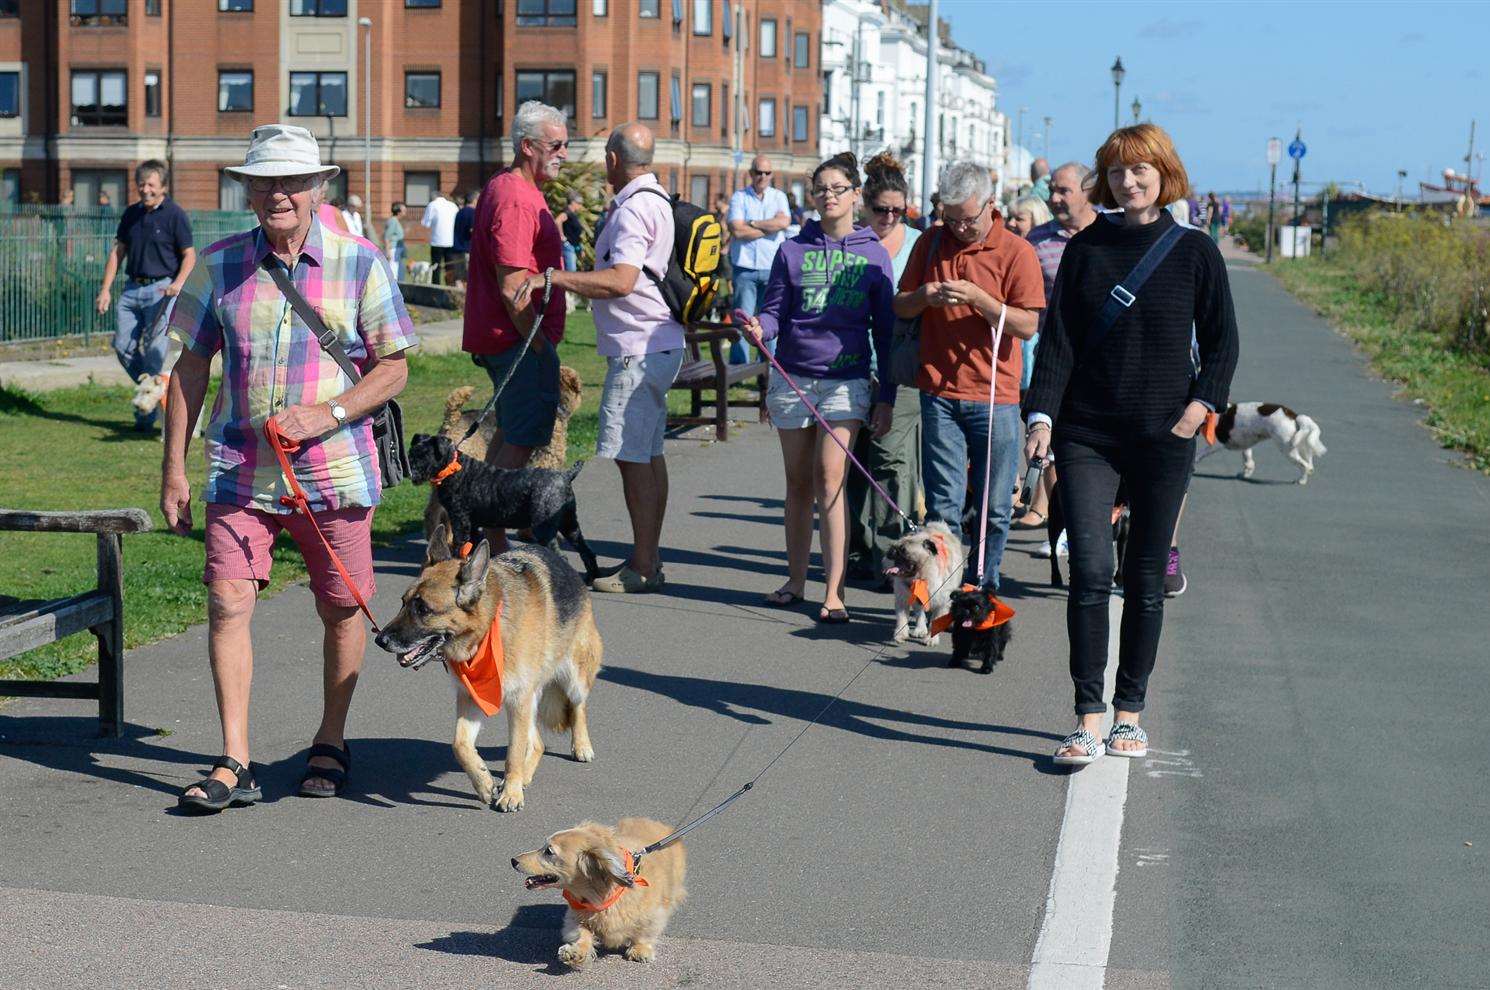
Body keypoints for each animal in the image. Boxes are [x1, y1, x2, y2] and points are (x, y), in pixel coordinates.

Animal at [375, 524, 601, 811]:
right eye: (403, 602)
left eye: (423, 609)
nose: (380, 640)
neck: (489, 627)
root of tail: (566, 565)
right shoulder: (472, 697)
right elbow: (460, 744)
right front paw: (483, 782)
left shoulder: (518, 700)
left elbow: (513, 753)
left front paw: (511, 794)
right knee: (537, 743)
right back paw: (521, 777)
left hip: (572, 678)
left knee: (577, 706)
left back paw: (580, 746)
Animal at [408, 432, 598, 581]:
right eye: (411, 453)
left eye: (423, 456)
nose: (410, 473)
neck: (454, 469)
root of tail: (565, 476)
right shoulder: (472, 525)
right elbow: (472, 549)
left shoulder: (460, 522)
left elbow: (459, 547)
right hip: (569, 524)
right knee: (587, 551)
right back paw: (591, 577)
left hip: (545, 529)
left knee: (563, 557)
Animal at [512, 817, 685, 966]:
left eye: (548, 851)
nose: (513, 860)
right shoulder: (575, 917)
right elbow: (582, 933)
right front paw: (576, 952)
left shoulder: (655, 914)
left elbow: (645, 933)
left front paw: (640, 950)